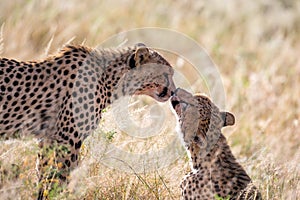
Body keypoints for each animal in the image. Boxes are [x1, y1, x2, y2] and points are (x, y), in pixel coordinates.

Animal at [0, 43, 176, 199]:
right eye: (165, 74)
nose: (174, 92)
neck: (109, 80)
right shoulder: (66, 140)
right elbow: (61, 177)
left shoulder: (48, 139)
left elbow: (45, 175)